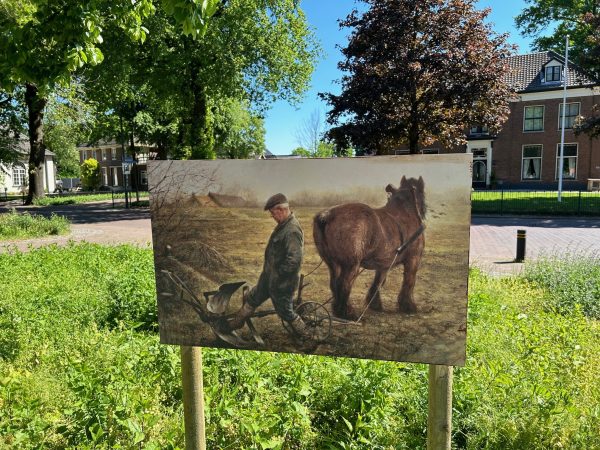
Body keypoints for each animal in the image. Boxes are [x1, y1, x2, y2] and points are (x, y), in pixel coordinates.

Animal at [314, 177, 426, 320]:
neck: (405, 212)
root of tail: (326, 216)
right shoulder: (413, 260)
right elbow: (409, 281)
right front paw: (408, 306)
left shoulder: (384, 264)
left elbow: (379, 282)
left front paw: (375, 304)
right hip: (351, 265)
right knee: (344, 284)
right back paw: (348, 313)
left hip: (333, 264)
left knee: (334, 284)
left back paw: (338, 311)